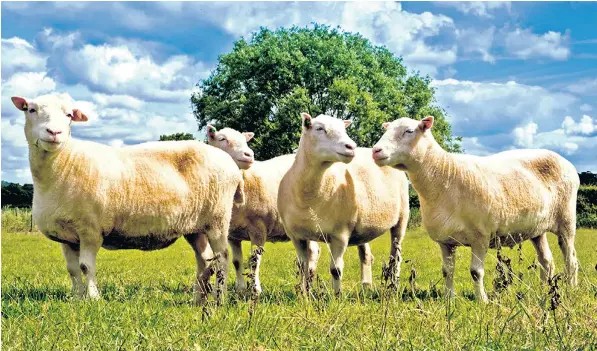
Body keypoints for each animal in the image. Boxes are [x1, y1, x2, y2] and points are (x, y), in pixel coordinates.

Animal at [9, 94, 242, 306]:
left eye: (69, 115)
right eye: (31, 110)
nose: (54, 132)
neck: (65, 161)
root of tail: (231, 165)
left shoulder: (90, 230)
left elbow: (86, 267)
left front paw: (93, 299)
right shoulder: (67, 236)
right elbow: (73, 270)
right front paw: (77, 299)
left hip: (218, 219)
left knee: (222, 257)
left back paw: (220, 299)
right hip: (195, 227)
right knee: (206, 260)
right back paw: (198, 299)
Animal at [207, 126, 374, 294]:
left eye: (245, 141)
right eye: (222, 139)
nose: (249, 155)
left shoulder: (258, 228)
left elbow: (254, 261)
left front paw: (256, 290)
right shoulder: (232, 235)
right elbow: (237, 262)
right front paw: (240, 289)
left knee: (362, 252)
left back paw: (365, 284)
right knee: (313, 252)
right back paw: (308, 283)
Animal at [278, 113, 410, 294]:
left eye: (343, 128)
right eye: (319, 128)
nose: (351, 146)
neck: (308, 197)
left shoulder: (339, 233)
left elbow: (336, 269)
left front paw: (337, 295)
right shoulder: (296, 235)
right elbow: (303, 266)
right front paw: (304, 294)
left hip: (402, 218)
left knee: (396, 256)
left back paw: (393, 285)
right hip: (364, 225)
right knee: (366, 255)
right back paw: (366, 286)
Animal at [372, 116, 576, 302]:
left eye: (409, 131)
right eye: (386, 129)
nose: (375, 151)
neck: (443, 176)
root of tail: (563, 160)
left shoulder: (480, 237)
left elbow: (476, 272)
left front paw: (482, 300)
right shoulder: (445, 240)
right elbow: (447, 271)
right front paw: (449, 299)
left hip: (567, 222)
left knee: (570, 259)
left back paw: (571, 289)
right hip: (537, 229)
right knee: (546, 261)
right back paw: (544, 290)